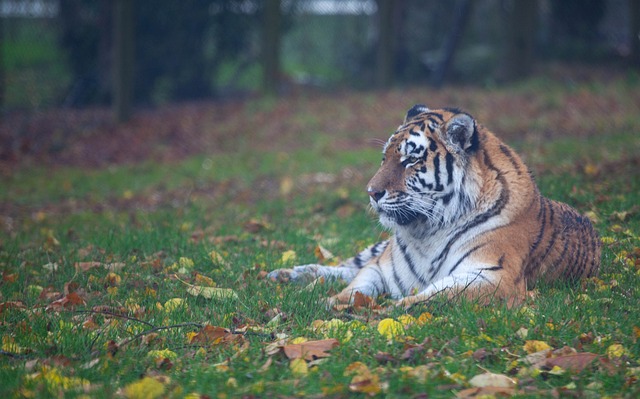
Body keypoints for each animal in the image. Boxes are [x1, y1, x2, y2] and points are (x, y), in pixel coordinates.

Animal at [268, 104, 604, 308]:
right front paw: (328, 303)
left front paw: (387, 310)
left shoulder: (493, 276)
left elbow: (434, 296)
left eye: (410, 159)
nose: (371, 193)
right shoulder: (381, 267)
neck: (426, 231)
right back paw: (288, 276)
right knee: (347, 266)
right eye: (384, 158)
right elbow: (354, 286)